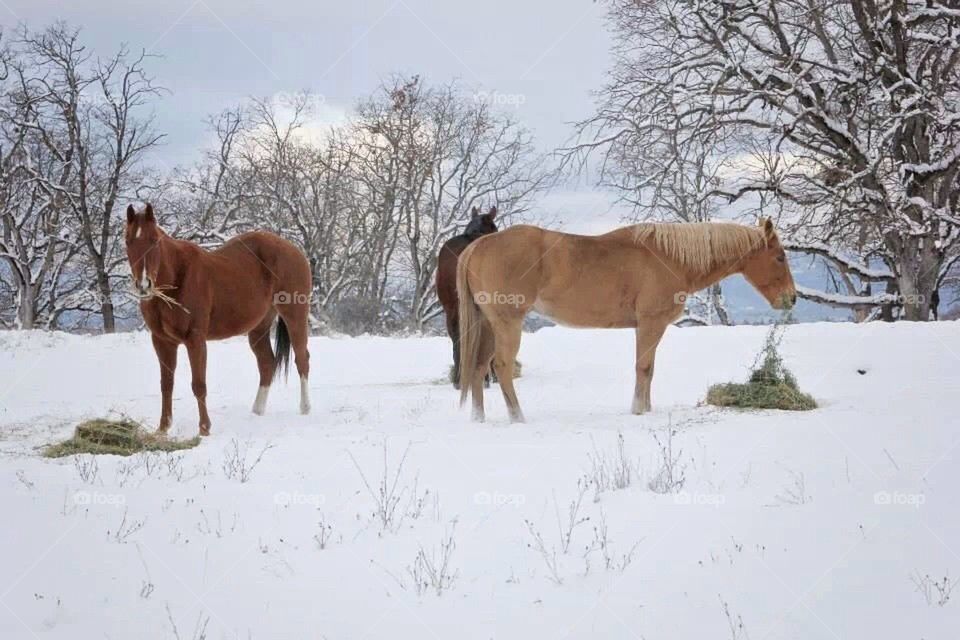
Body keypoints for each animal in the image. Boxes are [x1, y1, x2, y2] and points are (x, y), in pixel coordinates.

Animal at [124, 203, 313, 436]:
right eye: (128, 240)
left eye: (154, 240)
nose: (143, 284)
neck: (177, 277)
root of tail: (294, 250)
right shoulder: (162, 341)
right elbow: (166, 384)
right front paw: (163, 428)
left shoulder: (195, 339)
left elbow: (199, 384)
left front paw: (204, 429)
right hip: (259, 327)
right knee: (267, 363)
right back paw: (257, 411)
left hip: (295, 316)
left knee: (302, 359)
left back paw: (305, 408)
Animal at [456, 218, 797, 423]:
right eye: (780, 256)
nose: (791, 299)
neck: (669, 258)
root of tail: (478, 246)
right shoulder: (650, 324)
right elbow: (643, 367)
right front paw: (638, 410)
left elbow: (649, 369)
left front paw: (645, 408)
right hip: (507, 323)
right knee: (501, 366)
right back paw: (518, 417)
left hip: (487, 325)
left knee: (478, 366)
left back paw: (478, 417)